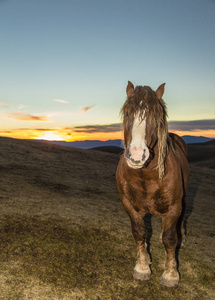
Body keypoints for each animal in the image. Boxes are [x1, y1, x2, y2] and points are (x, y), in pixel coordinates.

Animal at [116, 81, 189, 288]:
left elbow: (170, 238)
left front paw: (171, 274)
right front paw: (142, 267)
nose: (136, 155)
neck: (147, 175)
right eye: (127, 113)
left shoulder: (174, 207)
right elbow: (139, 232)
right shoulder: (128, 204)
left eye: (155, 117)